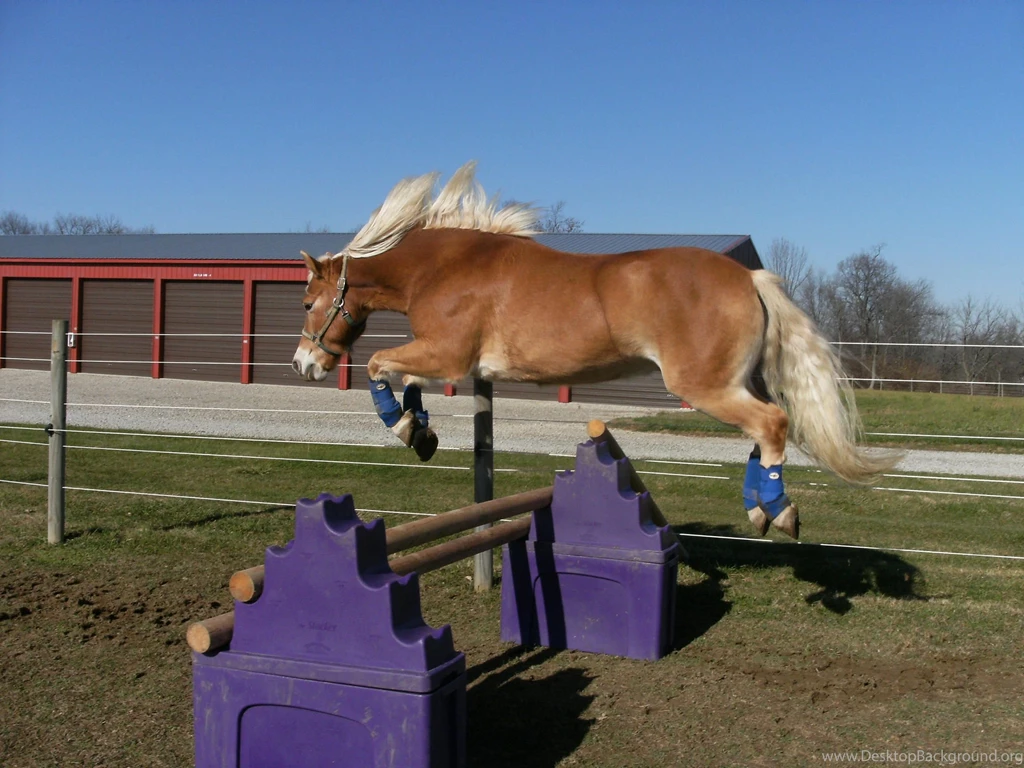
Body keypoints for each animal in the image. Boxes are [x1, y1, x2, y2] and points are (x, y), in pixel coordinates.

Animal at [292, 162, 899, 539]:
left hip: (704, 386)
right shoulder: (443, 359)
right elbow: (408, 381)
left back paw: (779, 511)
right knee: (764, 431)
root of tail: (749, 277)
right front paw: (420, 432)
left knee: (772, 424)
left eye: (307, 301)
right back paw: (757, 511)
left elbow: (379, 366)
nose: (304, 364)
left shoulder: (448, 356)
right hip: (735, 382)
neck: (444, 265)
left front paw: (402, 426)